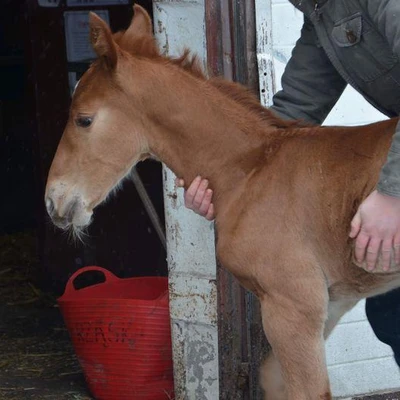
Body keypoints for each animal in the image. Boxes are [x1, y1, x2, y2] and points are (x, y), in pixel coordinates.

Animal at [45, 6, 400, 400]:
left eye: (84, 120)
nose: (53, 201)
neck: (251, 171)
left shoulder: (292, 306)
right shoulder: (331, 303)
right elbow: (273, 379)